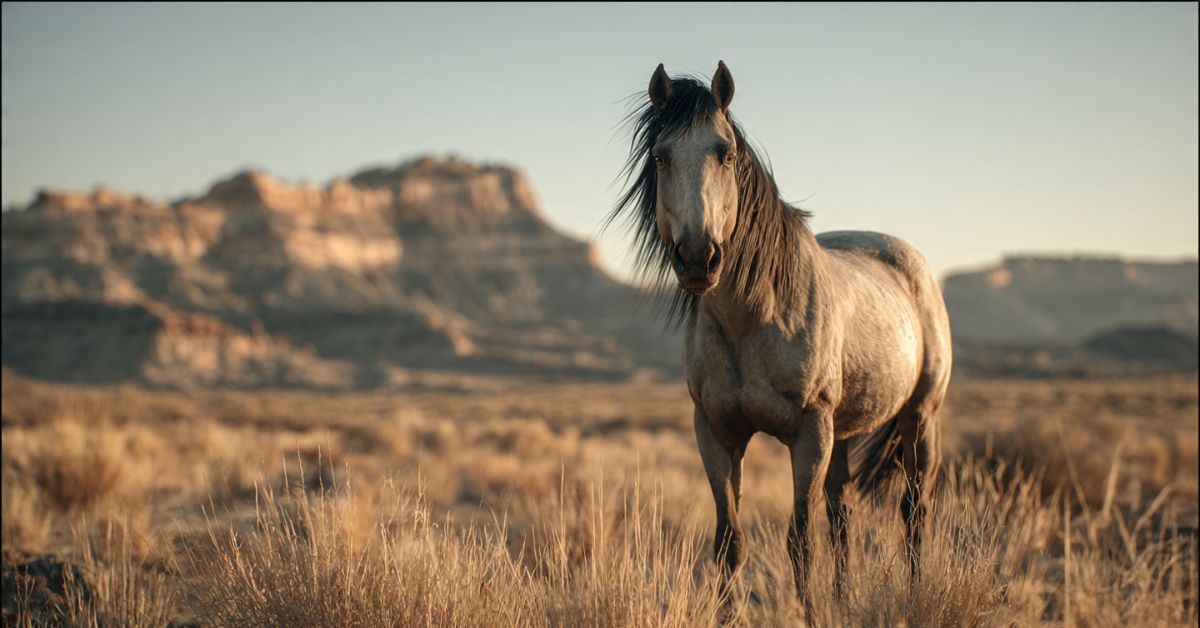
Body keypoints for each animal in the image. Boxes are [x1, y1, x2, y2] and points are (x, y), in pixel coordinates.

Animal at [609, 61, 953, 608]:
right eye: (660, 157)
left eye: (726, 153)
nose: (698, 258)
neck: (754, 318)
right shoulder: (716, 432)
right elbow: (730, 542)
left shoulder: (809, 433)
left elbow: (800, 542)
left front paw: (810, 613)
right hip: (844, 431)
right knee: (843, 515)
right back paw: (844, 600)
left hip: (919, 417)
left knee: (913, 511)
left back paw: (917, 592)